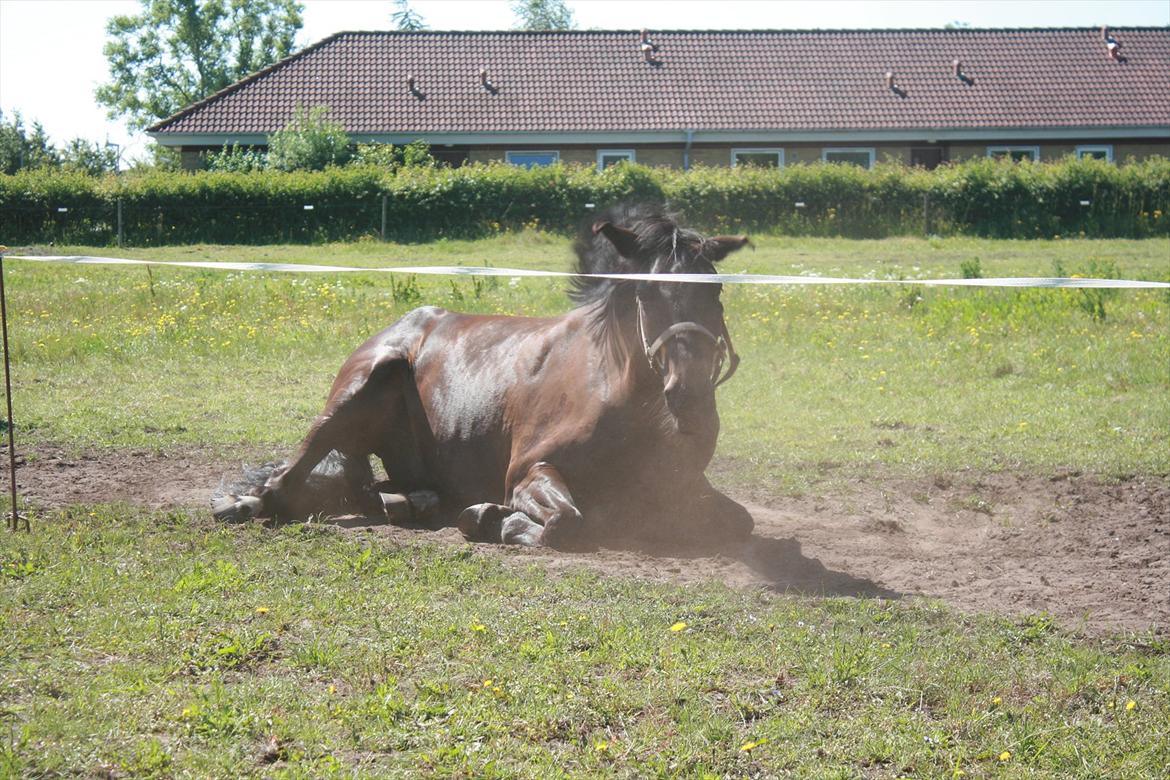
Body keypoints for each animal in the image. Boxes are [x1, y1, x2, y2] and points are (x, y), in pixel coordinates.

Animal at [215, 204, 753, 551]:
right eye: (648, 293)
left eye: (716, 292)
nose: (691, 397)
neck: (618, 395)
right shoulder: (529, 472)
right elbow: (568, 521)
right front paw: (492, 519)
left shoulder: (685, 486)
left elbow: (740, 521)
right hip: (364, 383)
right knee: (285, 480)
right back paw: (244, 504)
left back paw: (410, 502)